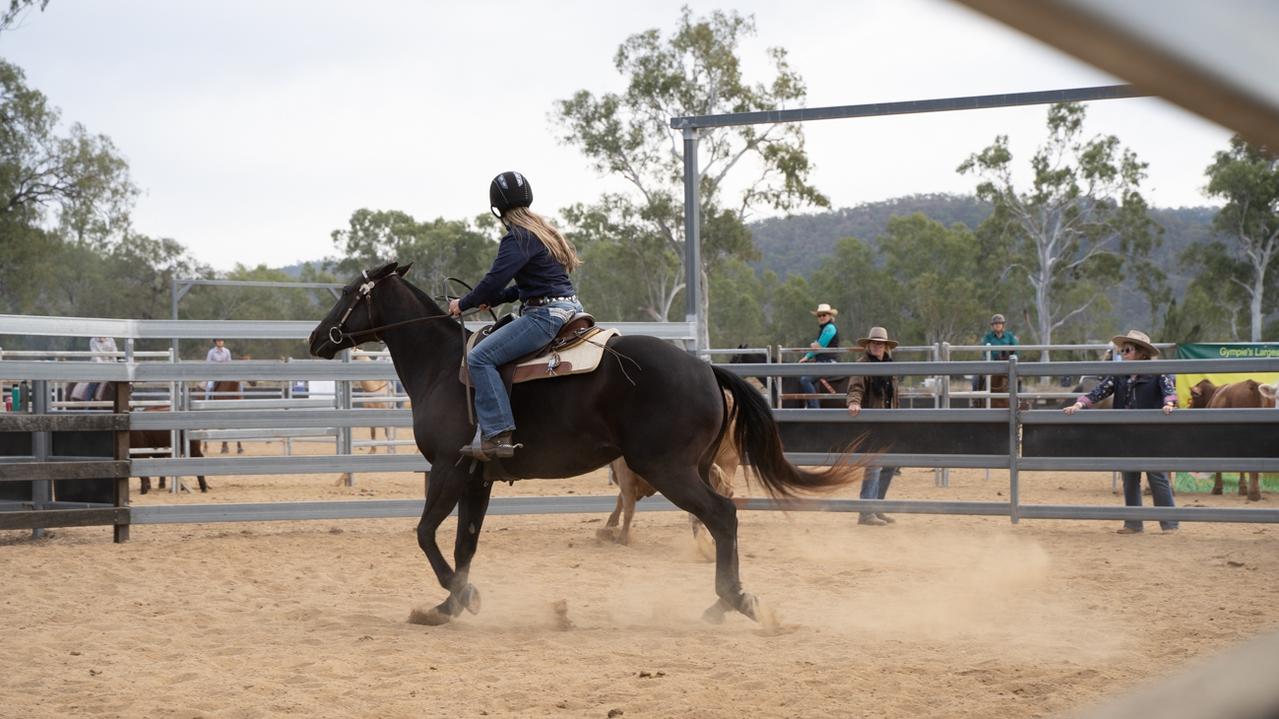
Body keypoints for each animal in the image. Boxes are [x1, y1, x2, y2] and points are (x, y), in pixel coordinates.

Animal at [304, 264, 854, 626]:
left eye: (350, 291)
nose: (316, 338)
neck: (444, 366)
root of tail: (703, 368)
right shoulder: (478, 477)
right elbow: (465, 542)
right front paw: (450, 604)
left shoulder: (447, 469)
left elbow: (424, 534)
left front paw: (458, 597)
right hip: (690, 466)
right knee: (722, 515)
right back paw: (726, 601)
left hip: (668, 468)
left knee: (722, 515)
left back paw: (733, 600)